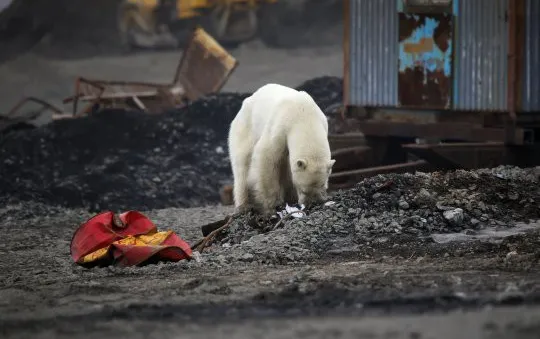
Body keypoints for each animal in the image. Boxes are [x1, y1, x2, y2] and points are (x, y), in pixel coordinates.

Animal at [227, 82, 336, 216]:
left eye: (322, 185)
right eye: (303, 189)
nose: (312, 203)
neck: (304, 115)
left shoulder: (322, 122)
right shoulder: (280, 126)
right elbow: (266, 156)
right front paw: (273, 204)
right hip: (245, 127)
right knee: (242, 164)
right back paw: (243, 205)